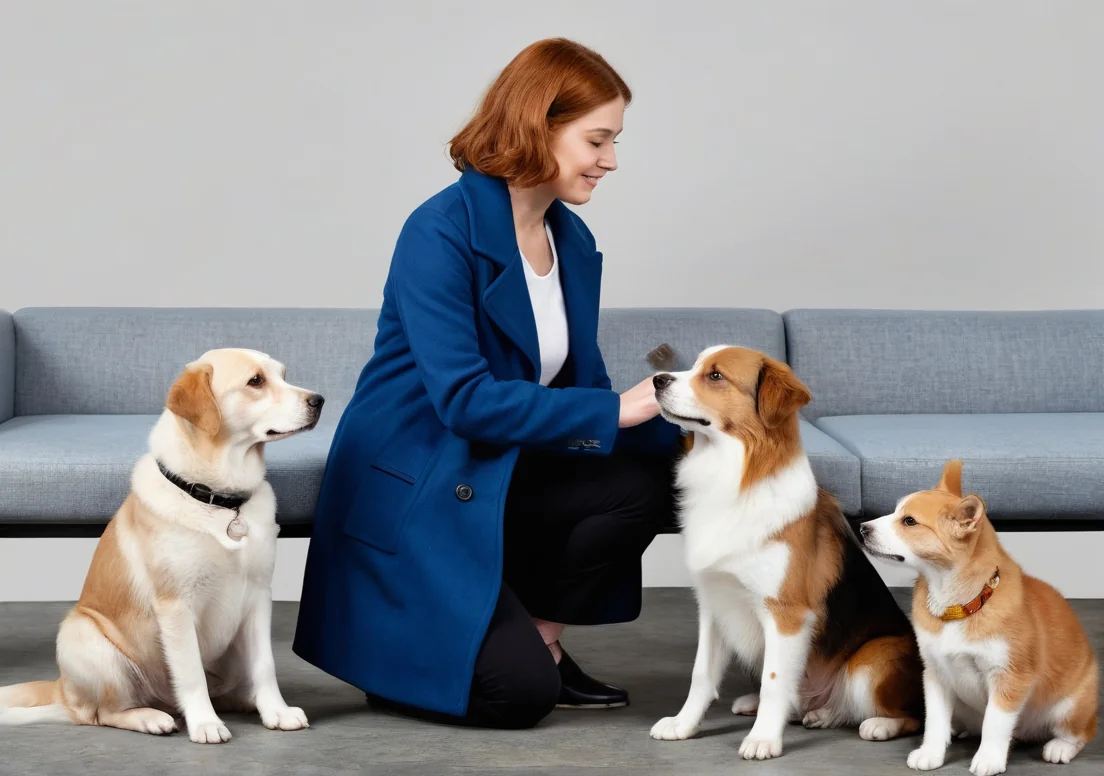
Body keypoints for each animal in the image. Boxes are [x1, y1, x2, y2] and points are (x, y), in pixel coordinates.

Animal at [0, 348, 324, 741]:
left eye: (283, 375)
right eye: (256, 381)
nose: (319, 400)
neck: (220, 501)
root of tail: (62, 689)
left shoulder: (259, 596)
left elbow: (265, 664)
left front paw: (276, 711)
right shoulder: (176, 606)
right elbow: (191, 672)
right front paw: (205, 723)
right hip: (82, 635)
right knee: (101, 714)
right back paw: (150, 717)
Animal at [644, 344, 922, 759]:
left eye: (715, 375)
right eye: (693, 366)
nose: (656, 381)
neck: (734, 476)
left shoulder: (786, 613)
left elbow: (775, 681)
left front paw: (763, 739)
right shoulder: (715, 604)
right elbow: (701, 673)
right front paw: (684, 724)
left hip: (873, 661)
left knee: (909, 714)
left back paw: (877, 724)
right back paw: (814, 712)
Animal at [861, 459, 1095, 772]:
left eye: (909, 521)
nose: (862, 528)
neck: (959, 606)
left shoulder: (1008, 677)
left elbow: (994, 724)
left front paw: (989, 759)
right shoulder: (935, 674)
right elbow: (934, 721)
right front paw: (931, 752)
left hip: (1071, 707)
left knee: (1079, 733)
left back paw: (1059, 747)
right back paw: (884, 724)